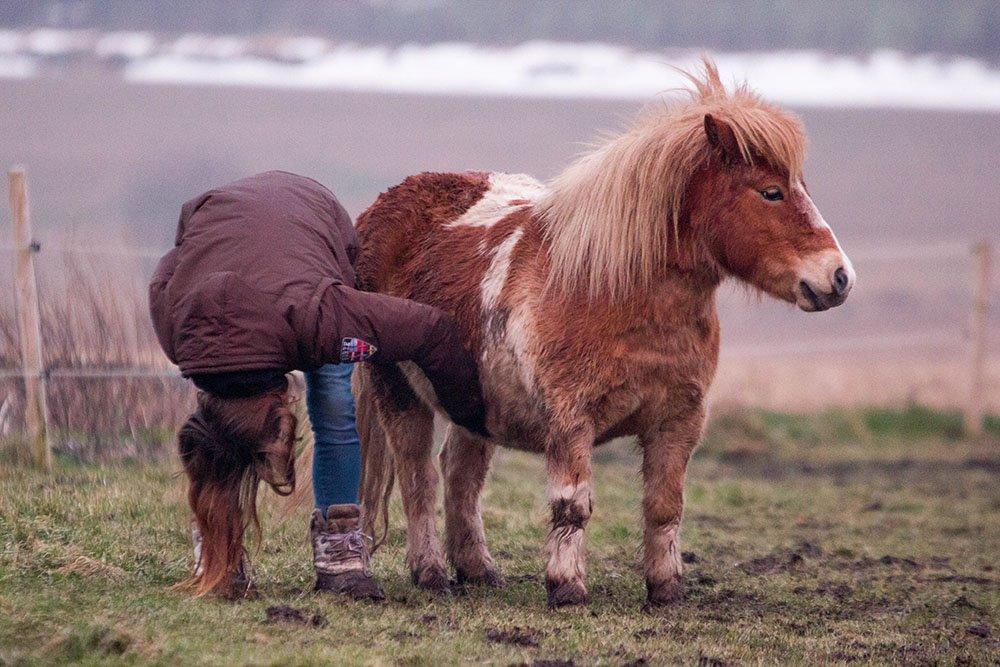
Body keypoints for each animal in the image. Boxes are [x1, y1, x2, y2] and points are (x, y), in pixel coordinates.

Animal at [350, 60, 852, 608]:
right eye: (771, 191)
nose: (839, 278)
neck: (612, 289)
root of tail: (376, 213)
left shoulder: (679, 421)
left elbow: (664, 505)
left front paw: (666, 589)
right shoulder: (571, 420)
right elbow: (572, 506)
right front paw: (567, 586)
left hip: (475, 406)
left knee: (459, 477)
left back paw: (479, 571)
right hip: (398, 391)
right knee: (418, 478)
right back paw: (431, 573)